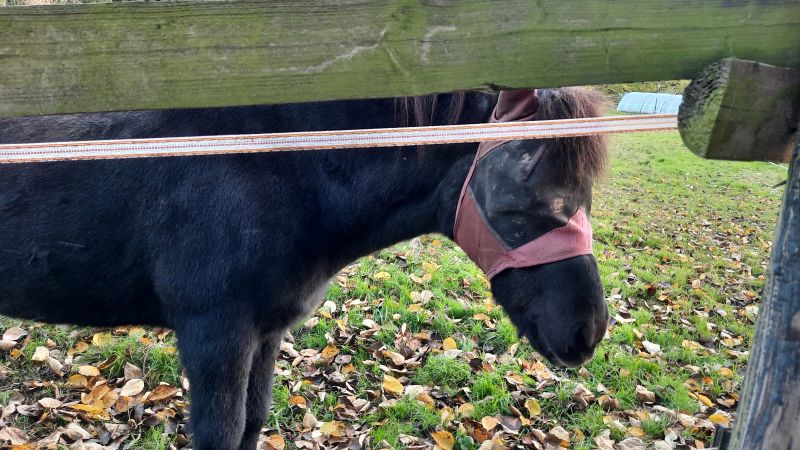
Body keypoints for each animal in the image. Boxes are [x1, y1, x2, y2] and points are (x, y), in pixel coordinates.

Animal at [0, 89, 608, 450]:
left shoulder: (264, 335)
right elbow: (221, 434)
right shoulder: (214, 335)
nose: (588, 331)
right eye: (519, 196)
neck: (273, 166)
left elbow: (251, 424)